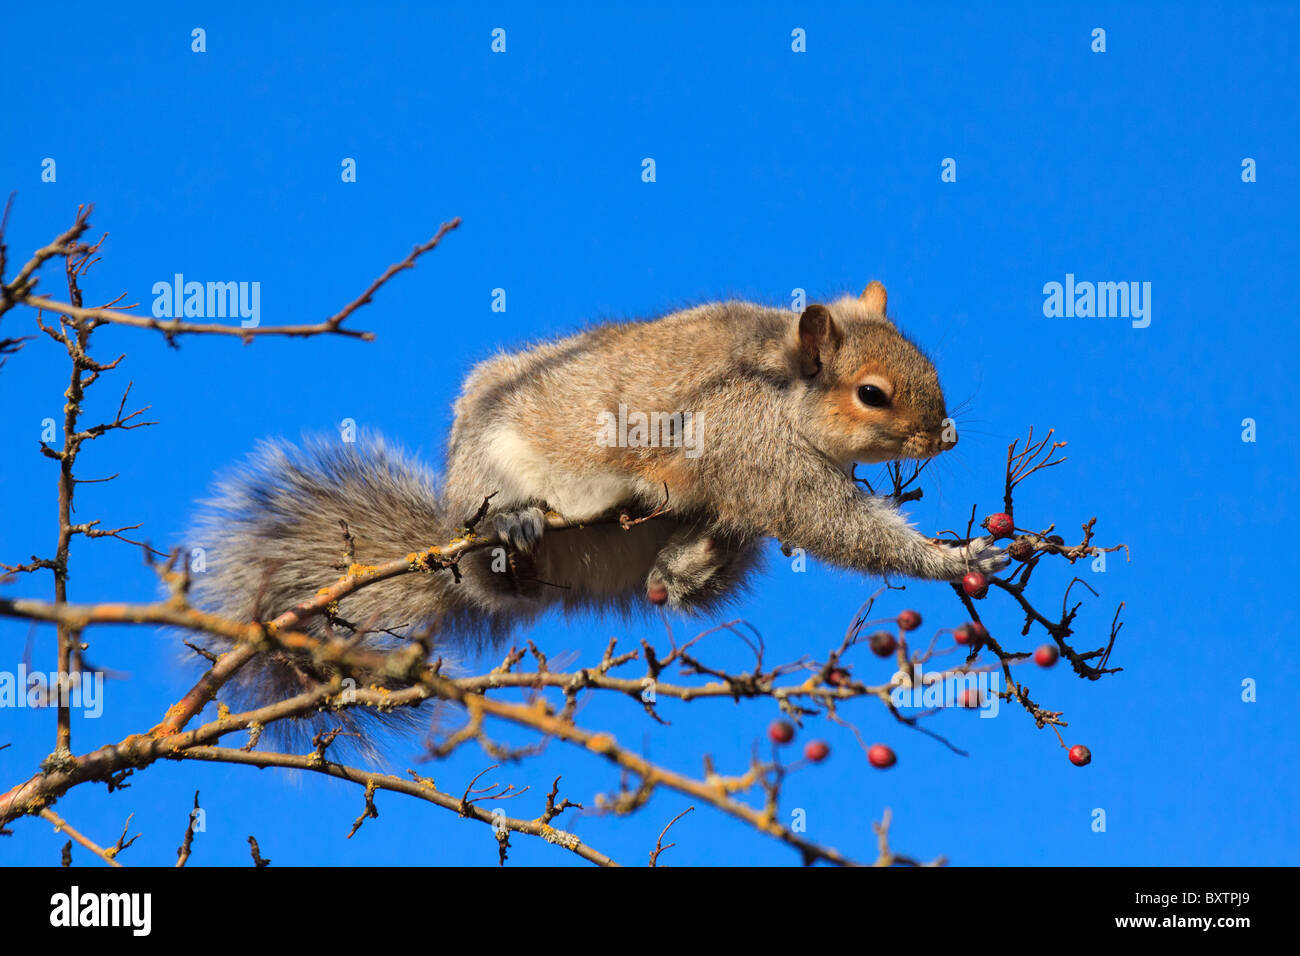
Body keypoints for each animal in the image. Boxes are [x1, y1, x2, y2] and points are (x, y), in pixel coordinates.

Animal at [189, 280, 1003, 749]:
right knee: (490, 563)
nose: (944, 436)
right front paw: (956, 558)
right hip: (482, 468)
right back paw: (509, 532)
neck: (779, 385)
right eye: (872, 394)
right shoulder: (750, 443)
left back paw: (680, 566)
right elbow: (827, 522)